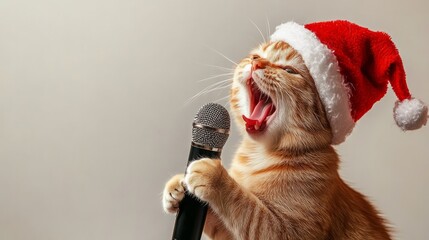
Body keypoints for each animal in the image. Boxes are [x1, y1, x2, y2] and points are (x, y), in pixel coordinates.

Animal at [161, 40, 392, 239]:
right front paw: (177, 186)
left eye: (289, 71)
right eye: (255, 56)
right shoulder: (228, 234)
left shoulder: (290, 232)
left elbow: (249, 211)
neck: (259, 154)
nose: (256, 63)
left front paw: (215, 177)